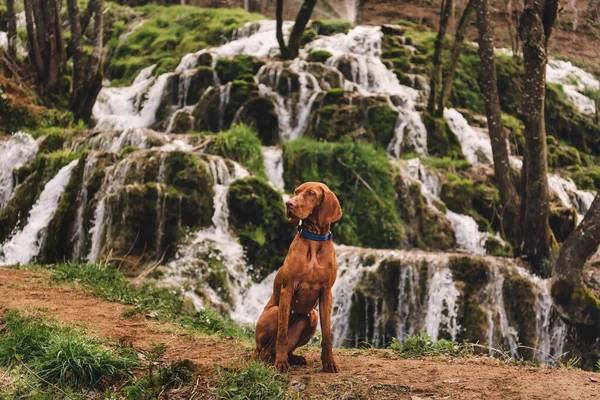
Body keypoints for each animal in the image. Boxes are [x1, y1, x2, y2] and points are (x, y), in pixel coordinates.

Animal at [253, 183, 342, 374]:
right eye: (296, 192)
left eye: (311, 193)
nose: (289, 203)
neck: (314, 240)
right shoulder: (288, 289)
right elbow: (282, 334)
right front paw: (281, 363)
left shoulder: (326, 293)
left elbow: (327, 335)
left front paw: (329, 362)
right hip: (275, 312)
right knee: (265, 349)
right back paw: (275, 359)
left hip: (312, 316)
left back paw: (293, 358)